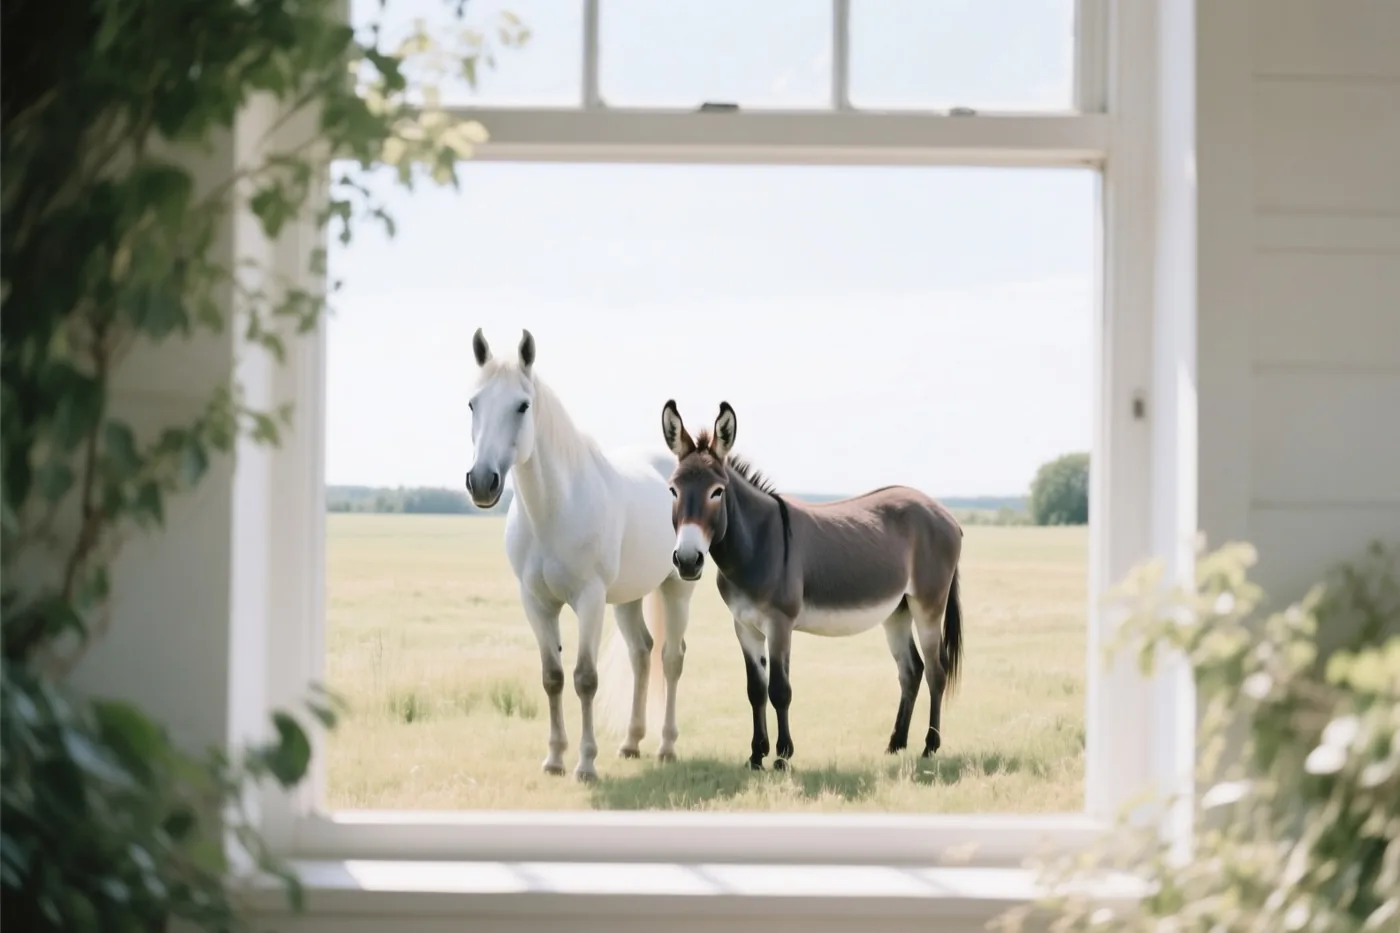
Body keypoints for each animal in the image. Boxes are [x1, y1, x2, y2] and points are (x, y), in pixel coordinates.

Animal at [464, 328, 697, 781]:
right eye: (472, 403)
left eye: (523, 405)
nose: (482, 481)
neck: (554, 510)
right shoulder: (536, 603)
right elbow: (552, 677)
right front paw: (554, 758)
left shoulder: (589, 599)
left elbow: (585, 678)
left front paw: (586, 764)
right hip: (627, 597)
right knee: (641, 653)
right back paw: (631, 742)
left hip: (676, 587)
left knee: (671, 659)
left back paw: (666, 747)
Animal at [659, 399, 965, 771]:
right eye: (673, 490)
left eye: (717, 492)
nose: (688, 561)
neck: (755, 546)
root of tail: (943, 512)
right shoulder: (744, 625)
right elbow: (755, 689)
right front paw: (756, 755)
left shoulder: (780, 623)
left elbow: (779, 689)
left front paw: (782, 755)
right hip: (898, 609)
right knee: (911, 670)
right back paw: (896, 744)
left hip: (928, 604)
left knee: (936, 670)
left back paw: (929, 746)